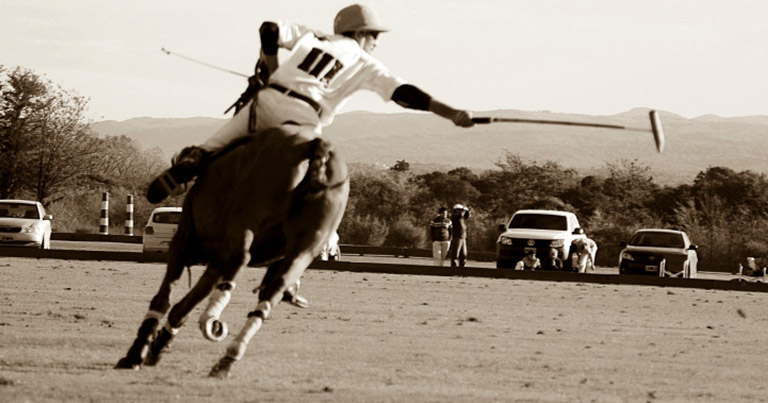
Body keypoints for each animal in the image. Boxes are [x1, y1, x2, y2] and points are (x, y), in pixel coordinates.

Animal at [113, 126, 348, 378]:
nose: (155, 189)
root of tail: (316, 145)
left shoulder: (182, 244)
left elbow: (164, 299)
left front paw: (136, 354)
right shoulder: (216, 262)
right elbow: (181, 308)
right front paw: (157, 346)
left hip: (245, 220)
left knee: (241, 258)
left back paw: (212, 322)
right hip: (306, 244)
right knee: (273, 289)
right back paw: (227, 358)